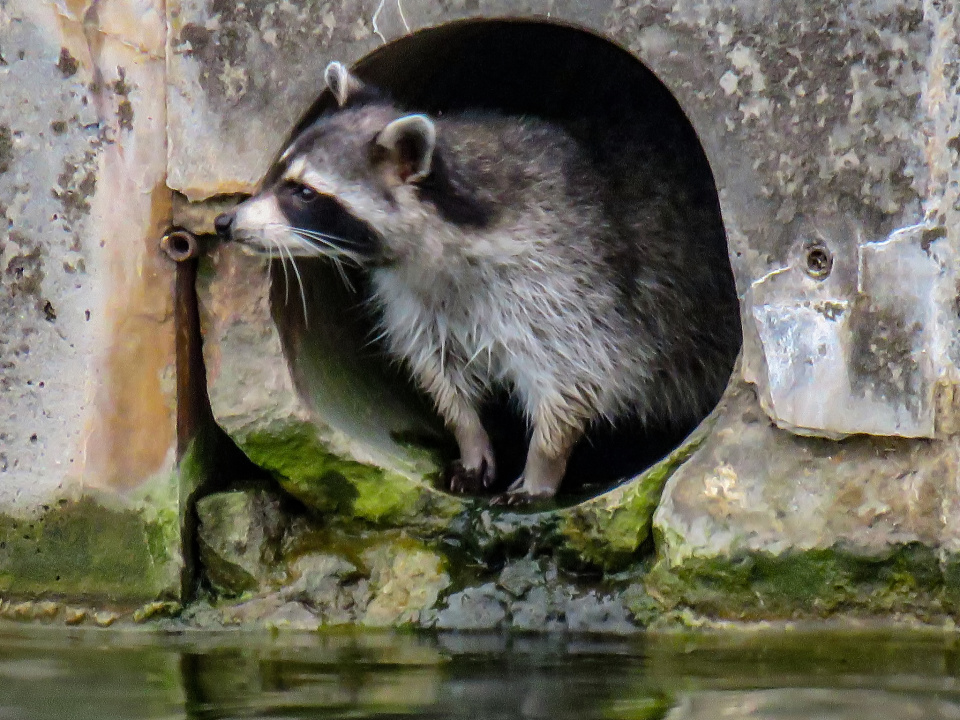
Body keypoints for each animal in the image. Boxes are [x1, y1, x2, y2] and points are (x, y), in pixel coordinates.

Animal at [215, 62, 741, 504]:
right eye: (280, 174)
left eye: (303, 192)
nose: (225, 222)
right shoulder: (416, 299)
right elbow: (436, 367)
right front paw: (469, 436)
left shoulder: (566, 279)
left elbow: (575, 377)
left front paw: (544, 462)